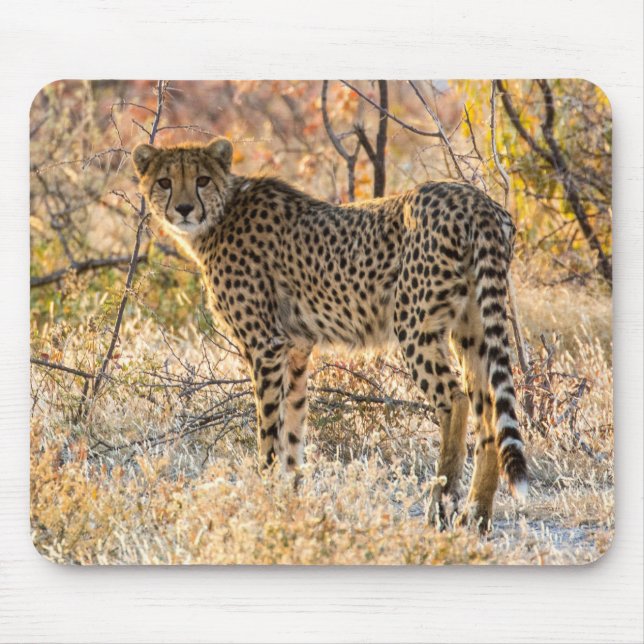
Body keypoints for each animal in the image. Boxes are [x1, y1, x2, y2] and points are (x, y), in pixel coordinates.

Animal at [132, 136, 528, 528]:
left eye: (202, 180)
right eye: (165, 182)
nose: (184, 209)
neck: (220, 214)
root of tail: (475, 199)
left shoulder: (265, 346)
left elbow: (268, 431)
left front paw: (264, 496)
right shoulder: (295, 348)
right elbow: (293, 428)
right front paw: (291, 500)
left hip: (415, 325)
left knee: (455, 400)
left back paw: (440, 506)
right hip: (472, 328)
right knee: (488, 412)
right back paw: (477, 515)